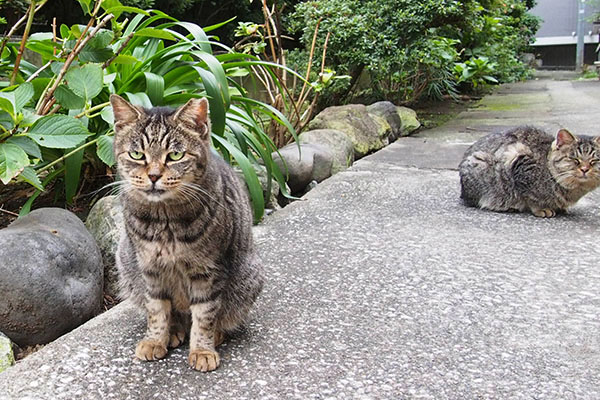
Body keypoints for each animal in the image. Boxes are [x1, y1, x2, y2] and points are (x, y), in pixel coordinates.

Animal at [110, 94, 264, 372]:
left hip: (249, 275)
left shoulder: (208, 270)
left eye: (175, 155)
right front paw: (155, 340)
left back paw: (215, 334)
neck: (165, 220)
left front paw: (202, 350)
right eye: (137, 154)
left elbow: (205, 314)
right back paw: (174, 331)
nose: (153, 176)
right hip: (126, 264)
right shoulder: (150, 268)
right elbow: (157, 309)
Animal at [460, 126, 600, 217]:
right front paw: (542, 208)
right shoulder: (519, 160)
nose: (585, 169)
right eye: (574, 159)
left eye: (594, 161)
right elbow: (531, 197)